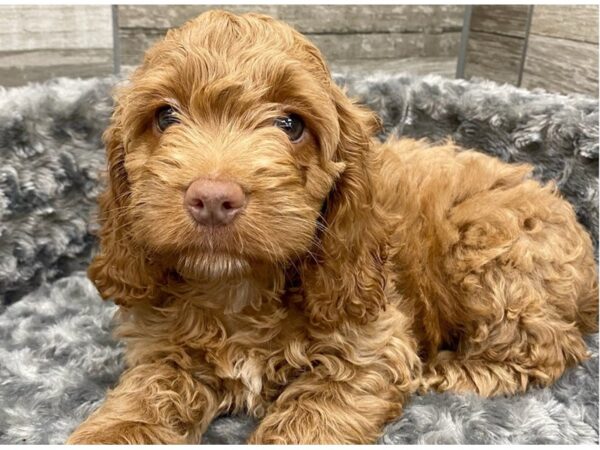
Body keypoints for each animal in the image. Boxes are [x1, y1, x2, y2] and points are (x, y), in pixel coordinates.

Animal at [67, 9, 600, 442]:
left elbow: (314, 413)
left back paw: (450, 373)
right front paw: (112, 431)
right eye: (165, 117)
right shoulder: (161, 349)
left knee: (547, 348)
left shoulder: (373, 344)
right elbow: (147, 394)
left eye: (290, 125)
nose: (213, 198)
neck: (238, 287)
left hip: (490, 248)